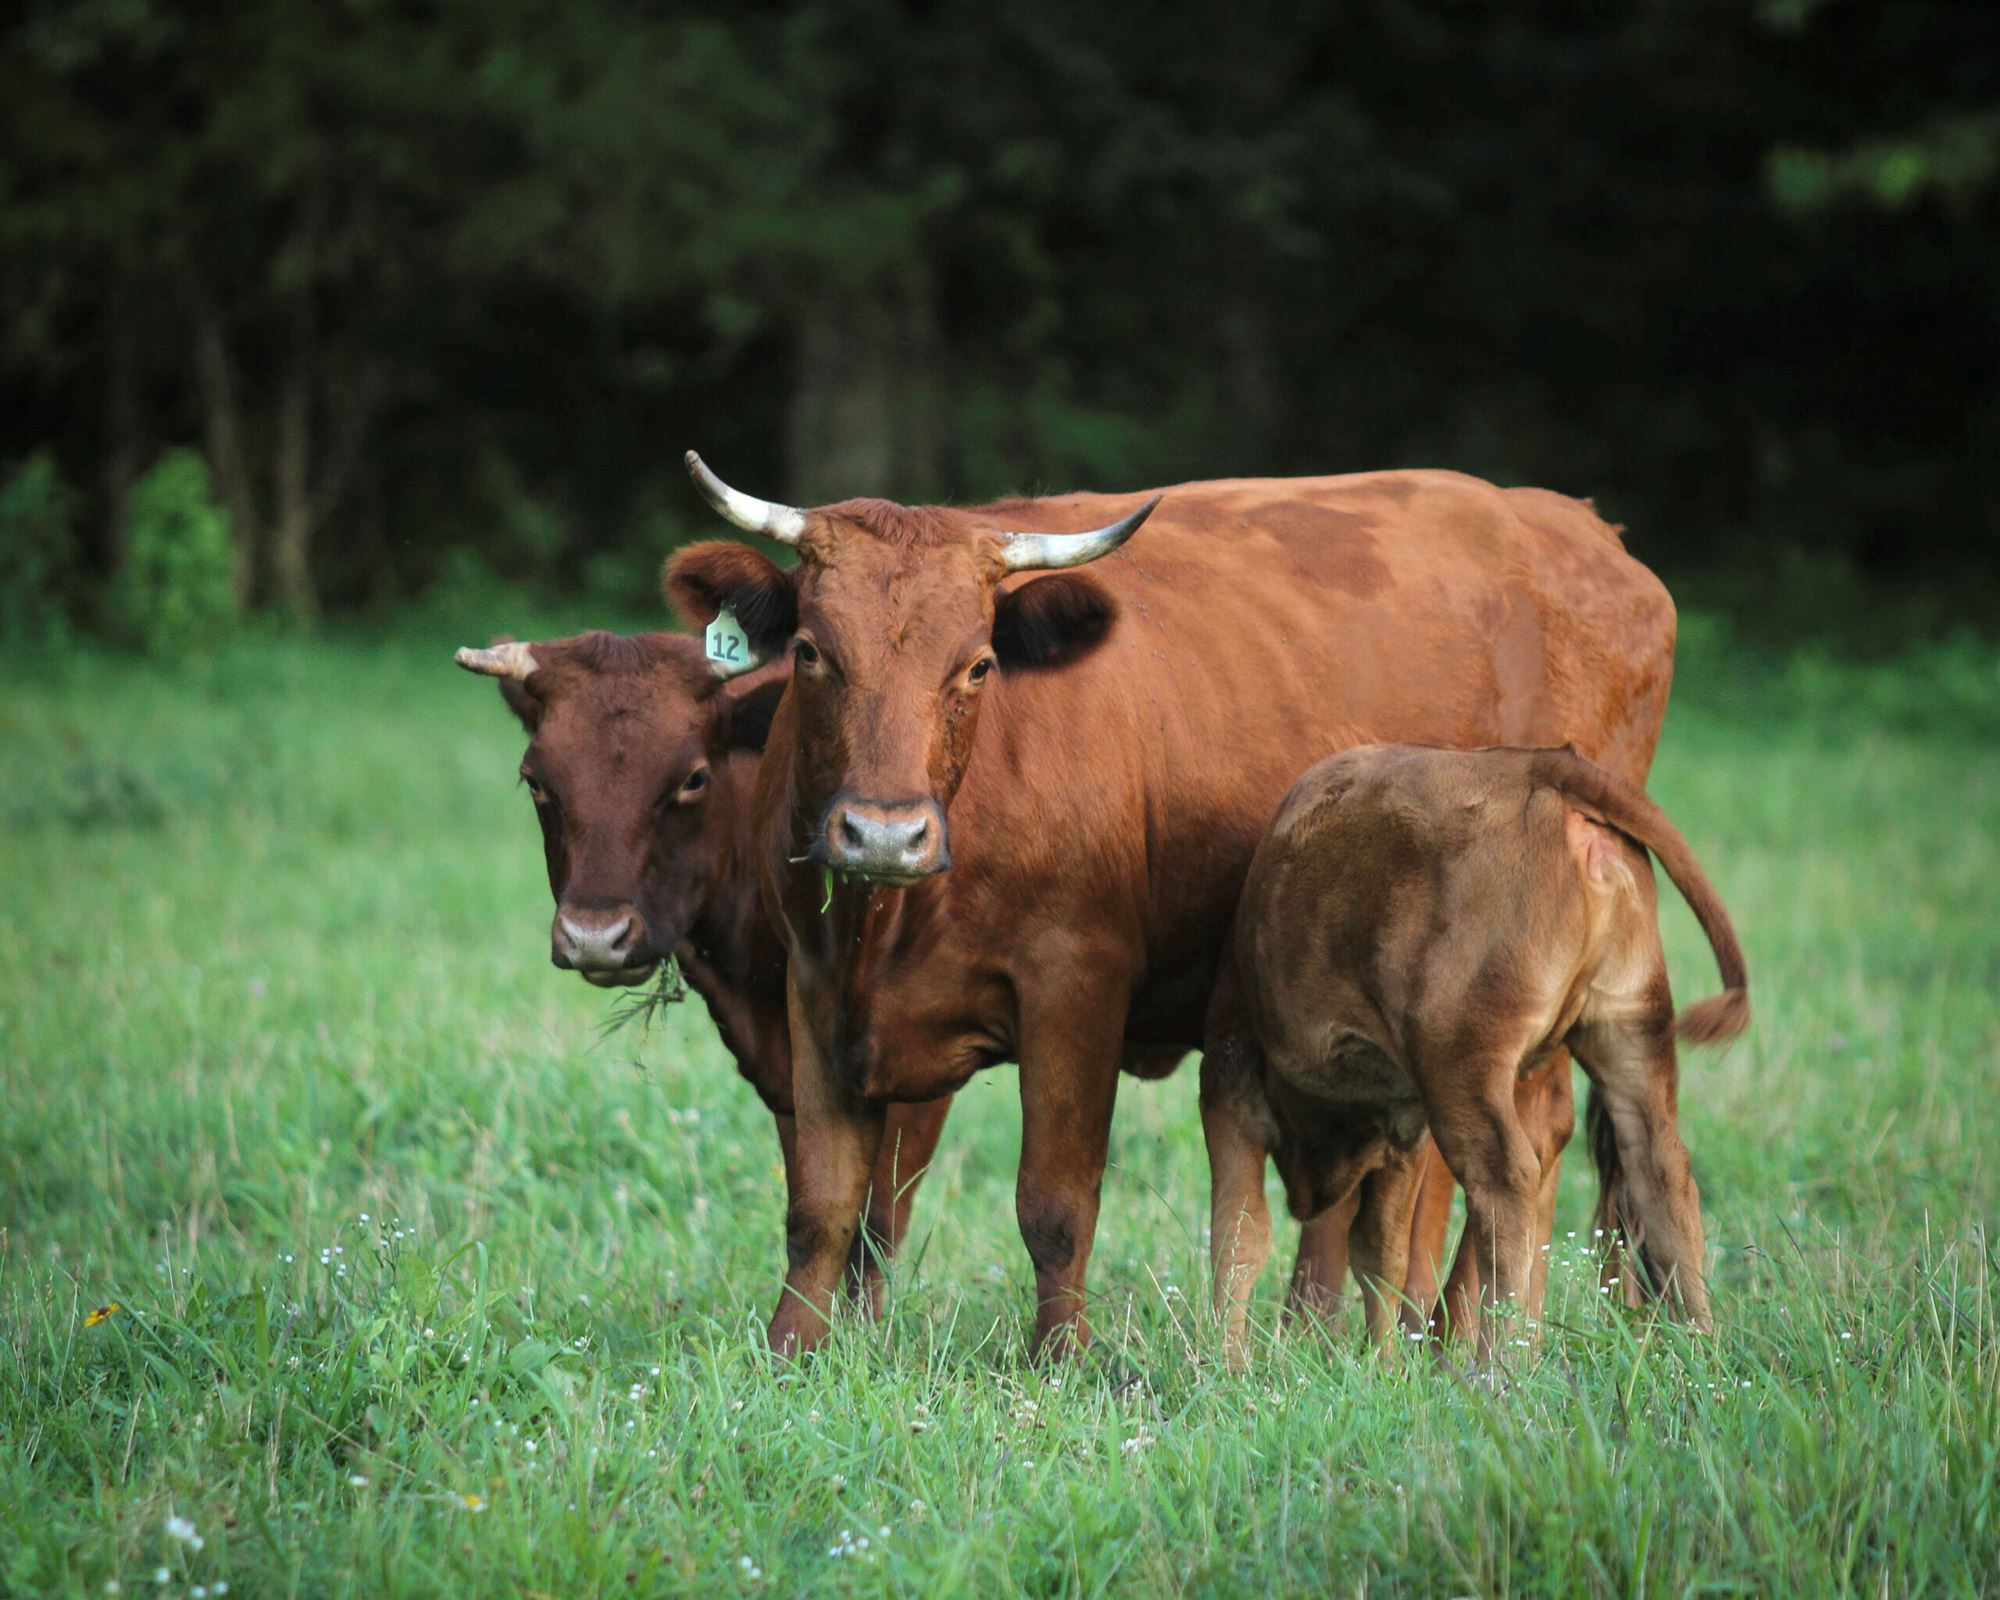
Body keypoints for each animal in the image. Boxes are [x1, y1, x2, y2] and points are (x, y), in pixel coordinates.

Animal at [668, 456, 1672, 1360]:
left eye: (979, 666)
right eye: (810, 651)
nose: (883, 835)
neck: (885, 928)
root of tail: (1578, 526)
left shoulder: (1076, 983)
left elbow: (1055, 1201)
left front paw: (1058, 1361)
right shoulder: (813, 984)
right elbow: (823, 1204)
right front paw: (790, 1353)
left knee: (1522, 1143)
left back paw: (1465, 1337)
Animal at [1200, 740, 1752, 1360]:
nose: (1307, 1197)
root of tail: (1536, 766)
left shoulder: (1229, 1076)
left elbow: (1240, 1232)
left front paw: (1226, 1360)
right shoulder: (1402, 1121)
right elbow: (1379, 1250)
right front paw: (1383, 1364)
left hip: (1464, 1063)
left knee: (1506, 1183)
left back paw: (1498, 1364)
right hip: (1632, 1029)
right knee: (1663, 1171)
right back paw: (1701, 1351)